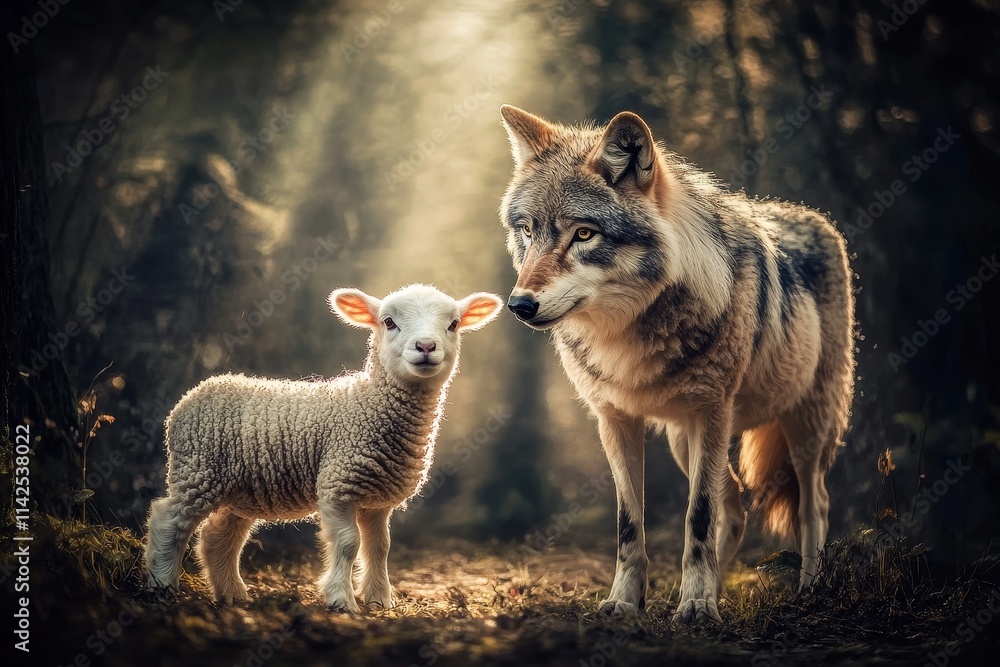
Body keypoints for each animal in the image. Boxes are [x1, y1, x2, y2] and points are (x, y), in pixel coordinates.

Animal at [144, 284, 503, 610]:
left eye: (453, 324)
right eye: (388, 322)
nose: (426, 346)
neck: (369, 403)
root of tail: (191, 396)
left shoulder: (377, 497)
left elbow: (380, 547)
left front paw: (380, 601)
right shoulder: (338, 484)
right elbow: (348, 543)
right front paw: (341, 600)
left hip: (238, 489)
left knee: (217, 537)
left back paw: (231, 593)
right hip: (198, 470)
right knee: (168, 520)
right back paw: (162, 585)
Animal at [496, 105, 854, 624]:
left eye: (583, 234)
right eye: (527, 231)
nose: (520, 305)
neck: (626, 334)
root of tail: (818, 218)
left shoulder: (712, 413)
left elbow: (697, 518)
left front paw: (699, 606)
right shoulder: (615, 420)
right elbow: (631, 526)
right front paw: (627, 602)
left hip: (802, 427)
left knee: (814, 505)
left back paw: (807, 590)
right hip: (685, 443)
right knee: (736, 510)